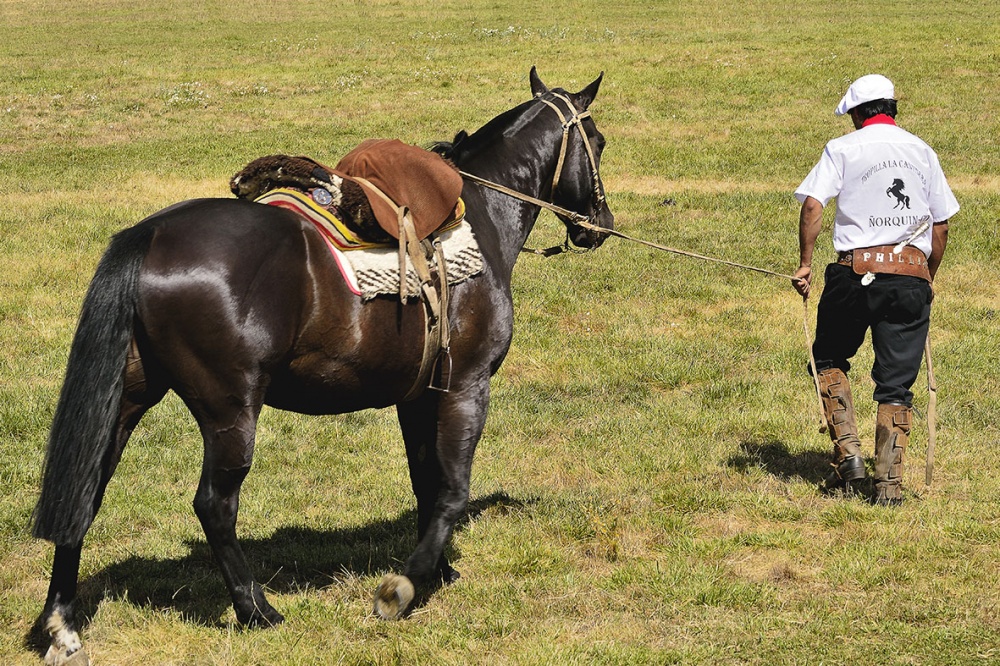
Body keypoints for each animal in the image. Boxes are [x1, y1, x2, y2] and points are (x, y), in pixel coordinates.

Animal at [33, 68, 608, 664]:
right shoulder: (466, 387)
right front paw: (404, 587)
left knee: (84, 492)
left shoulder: (417, 395)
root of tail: (150, 235)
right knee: (214, 505)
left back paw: (61, 625)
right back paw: (256, 610)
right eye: (600, 142)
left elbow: (426, 481)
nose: (599, 224)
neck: (480, 217)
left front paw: (437, 570)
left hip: (127, 399)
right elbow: (452, 489)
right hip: (230, 412)